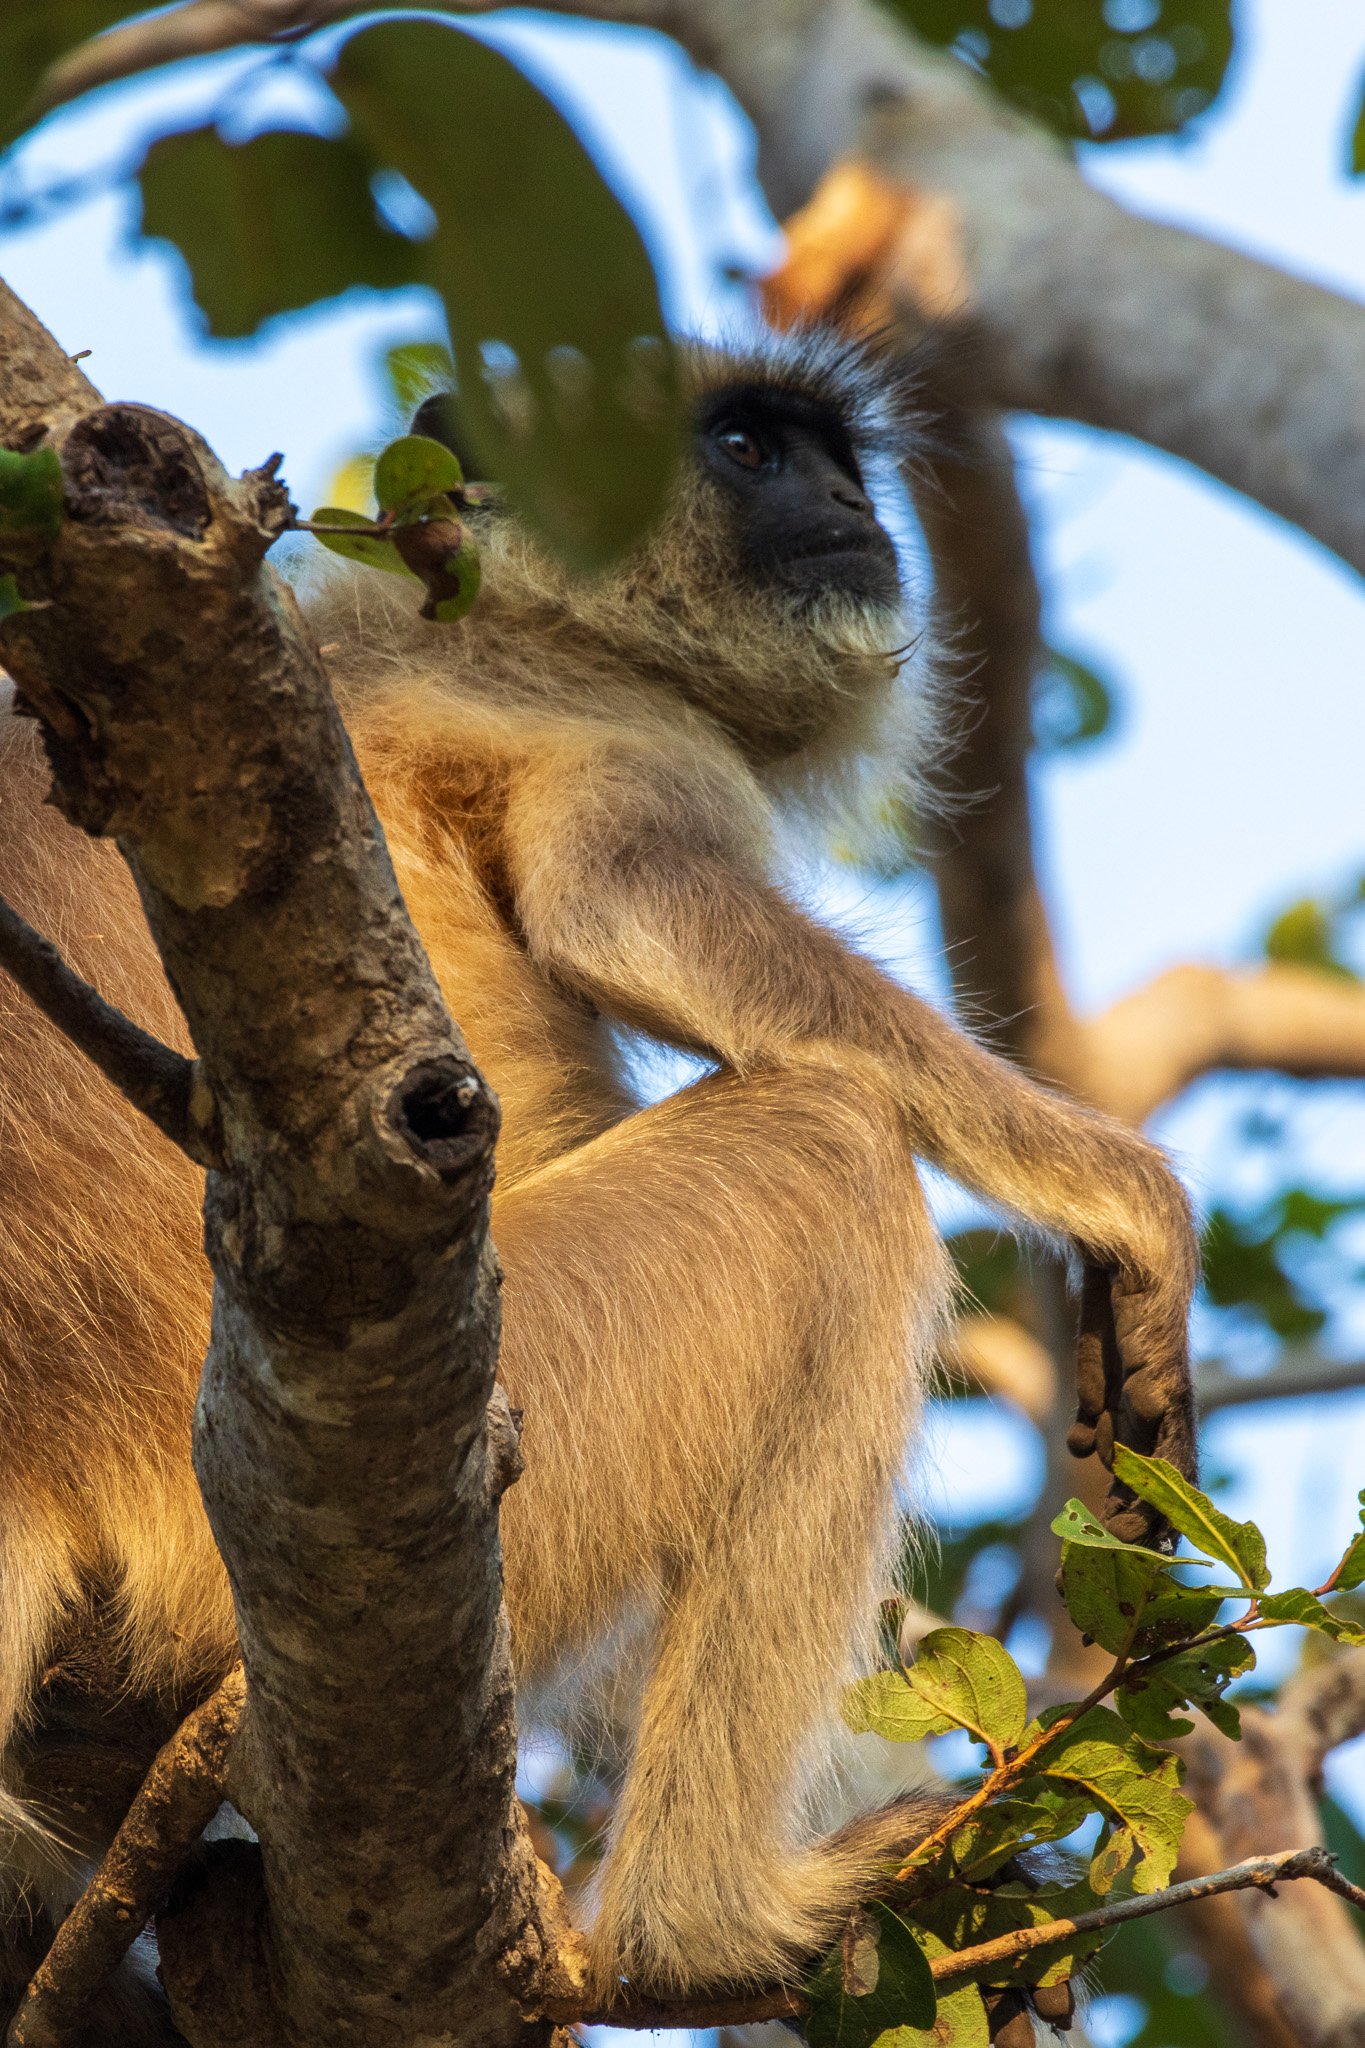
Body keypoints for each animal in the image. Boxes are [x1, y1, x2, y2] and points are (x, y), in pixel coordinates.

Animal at [0, 331, 1195, 2015]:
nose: (850, 509)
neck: (520, 609)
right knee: (831, 1147)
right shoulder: (592, 714)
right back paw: (703, 1934)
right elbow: (635, 909)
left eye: (834, 459)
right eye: (750, 449)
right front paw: (1131, 1209)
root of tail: (45, 1439)